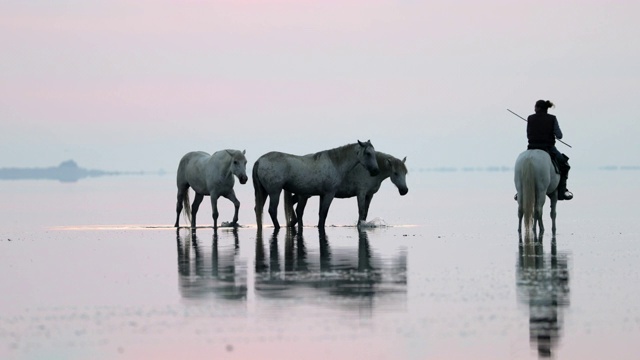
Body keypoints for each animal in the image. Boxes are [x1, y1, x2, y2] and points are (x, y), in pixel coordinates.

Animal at [251, 141, 380, 231]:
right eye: (368, 153)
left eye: (374, 154)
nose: (376, 171)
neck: (335, 163)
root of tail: (259, 161)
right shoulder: (329, 194)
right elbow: (324, 213)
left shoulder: (322, 195)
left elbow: (320, 214)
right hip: (274, 192)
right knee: (272, 210)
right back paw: (278, 227)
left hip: (263, 192)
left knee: (258, 209)